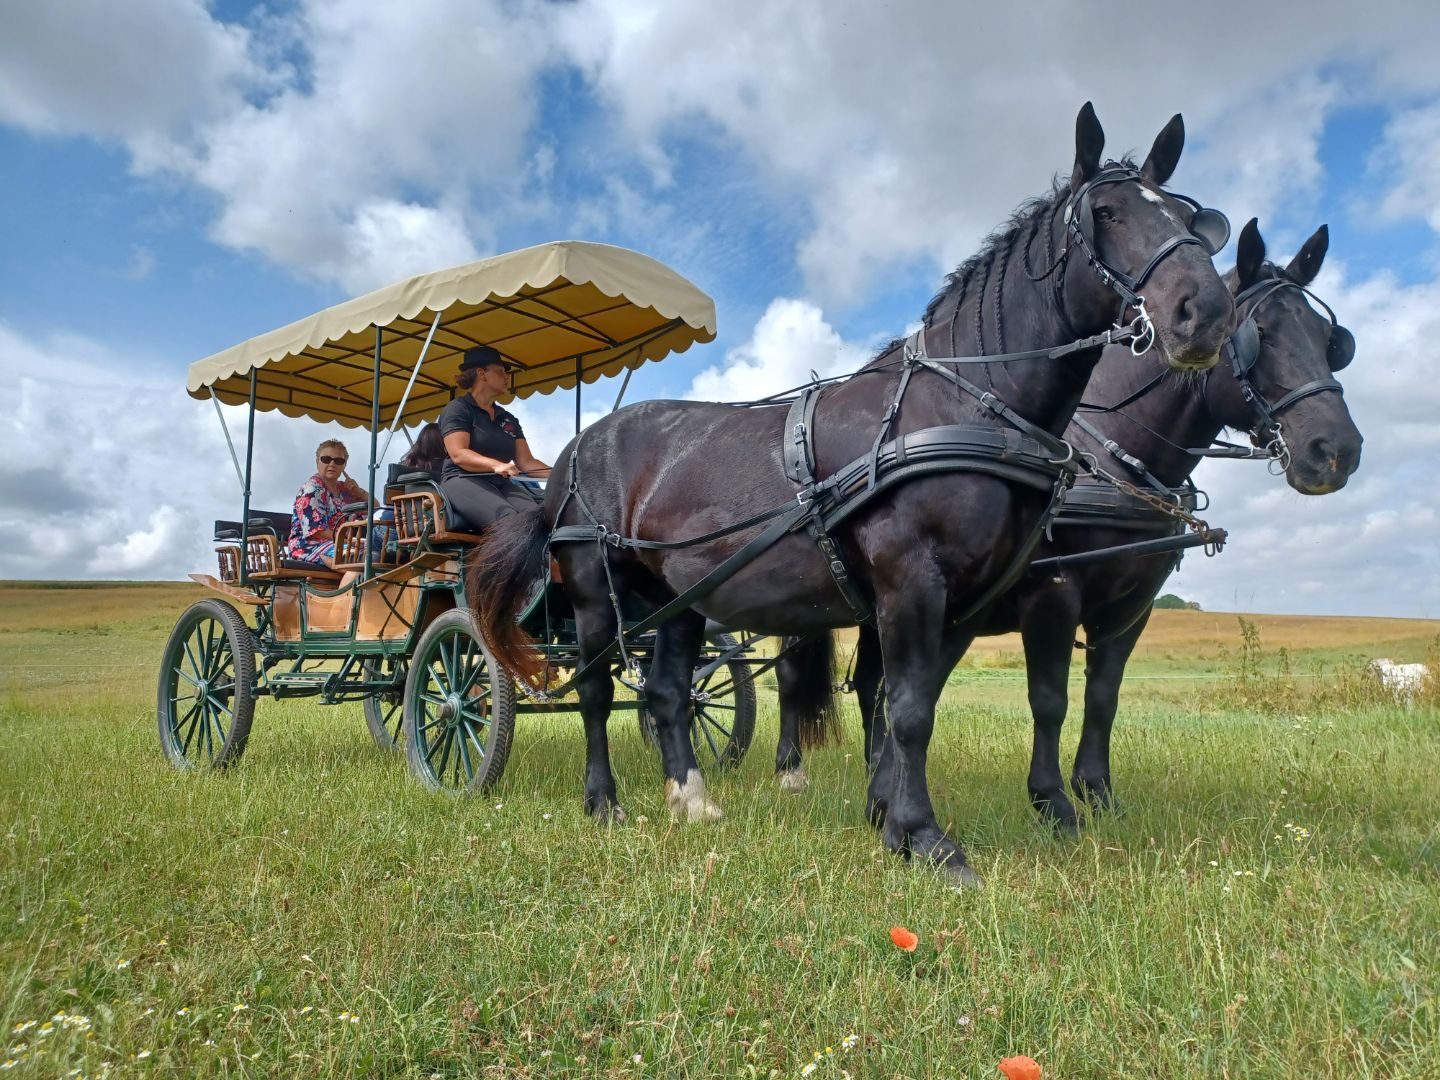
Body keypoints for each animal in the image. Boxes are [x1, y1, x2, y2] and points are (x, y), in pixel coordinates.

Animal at [466, 103, 1232, 887]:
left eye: (1189, 219)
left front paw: (892, 821)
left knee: (667, 692)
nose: (1205, 313)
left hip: (677, 598)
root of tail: (576, 450)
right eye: (1106, 213)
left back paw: (693, 799)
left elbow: (905, 705)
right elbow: (910, 711)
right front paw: (928, 838)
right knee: (595, 691)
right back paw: (605, 802)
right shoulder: (915, 581)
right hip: (595, 587)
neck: (961, 403)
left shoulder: (966, 600)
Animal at [777, 216, 1359, 835]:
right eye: (1257, 335)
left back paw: (875, 778)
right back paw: (791, 769)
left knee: (873, 686)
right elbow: (1049, 699)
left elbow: (1103, 696)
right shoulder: (1052, 595)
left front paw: (1097, 791)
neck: (1113, 461)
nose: (1338, 451)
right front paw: (1052, 800)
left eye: (1330, 341)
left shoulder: (1133, 608)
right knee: (793, 671)